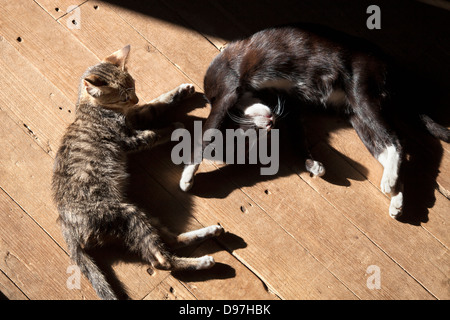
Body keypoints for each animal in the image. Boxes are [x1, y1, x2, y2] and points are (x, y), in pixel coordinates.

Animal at [52, 45, 223, 300]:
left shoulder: (136, 115)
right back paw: (203, 262)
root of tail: (67, 227)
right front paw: (176, 127)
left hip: (140, 214)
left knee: (171, 241)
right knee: (161, 261)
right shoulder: (129, 139)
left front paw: (181, 92)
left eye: (133, 86)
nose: (135, 99)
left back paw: (210, 233)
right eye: (124, 95)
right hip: (127, 214)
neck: (94, 108)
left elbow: (156, 104)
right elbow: (153, 133)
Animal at [180, 25, 450, 219]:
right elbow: (299, 139)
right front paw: (314, 166)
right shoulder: (292, 106)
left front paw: (186, 177)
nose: (270, 123)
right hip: (357, 116)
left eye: (247, 136)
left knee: (397, 140)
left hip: (362, 92)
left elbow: (206, 133)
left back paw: (389, 183)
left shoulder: (225, 92)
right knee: (386, 150)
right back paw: (396, 198)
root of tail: (391, 65)